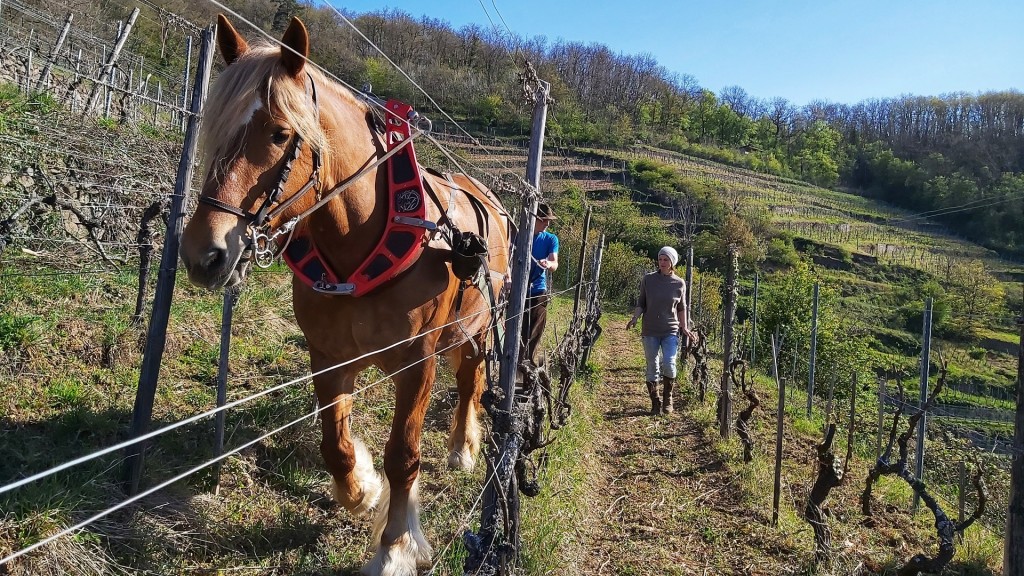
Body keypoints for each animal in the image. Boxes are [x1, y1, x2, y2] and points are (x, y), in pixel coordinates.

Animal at [180, 14, 512, 573]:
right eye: (216, 127)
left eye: (280, 133)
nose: (203, 255)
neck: (363, 241)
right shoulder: (329, 355)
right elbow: (334, 443)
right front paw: (361, 489)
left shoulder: (417, 362)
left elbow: (404, 456)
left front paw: (395, 546)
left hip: (480, 326)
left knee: (470, 383)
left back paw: (462, 449)